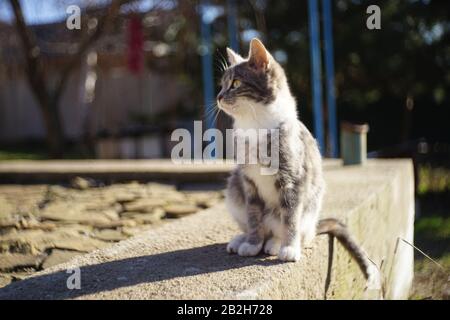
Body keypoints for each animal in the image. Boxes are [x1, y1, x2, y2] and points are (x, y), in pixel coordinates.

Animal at [216, 38, 378, 288]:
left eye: (235, 83)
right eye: (222, 84)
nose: (219, 96)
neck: (255, 125)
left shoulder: (293, 179)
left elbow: (291, 216)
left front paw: (289, 248)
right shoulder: (248, 182)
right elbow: (253, 215)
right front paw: (252, 243)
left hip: (311, 207)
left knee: (293, 228)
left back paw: (276, 243)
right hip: (234, 187)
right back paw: (243, 239)